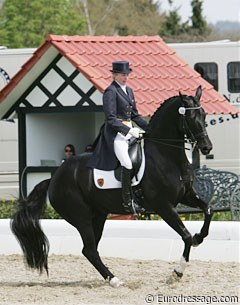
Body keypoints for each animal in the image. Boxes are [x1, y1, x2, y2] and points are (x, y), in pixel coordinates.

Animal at [11, 85, 214, 284]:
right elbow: (185, 235)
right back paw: (114, 280)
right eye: (190, 117)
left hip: (99, 214)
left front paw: (199, 237)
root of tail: (53, 178)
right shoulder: (163, 205)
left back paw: (110, 278)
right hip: (81, 216)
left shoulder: (186, 195)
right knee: (90, 249)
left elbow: (208, 209)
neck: (166, 157)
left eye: (204, 115)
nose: (207, 147)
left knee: (90, 249)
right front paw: (177, 272)